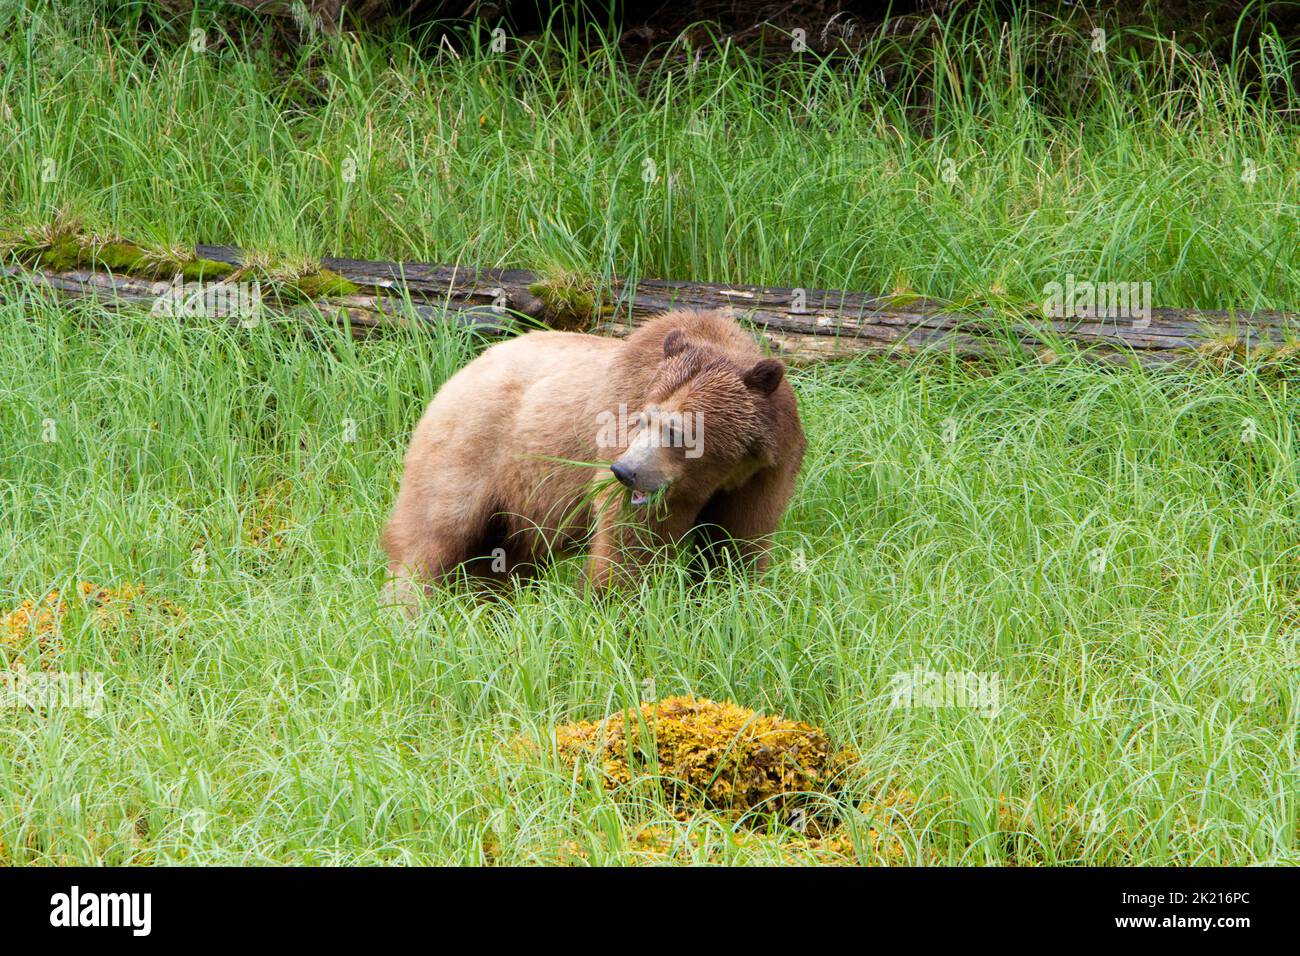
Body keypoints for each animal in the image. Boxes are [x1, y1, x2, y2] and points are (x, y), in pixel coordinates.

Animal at [379, 310, 800, 608]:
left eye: (677, 430)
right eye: (644, 420)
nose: (626, 471)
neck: (720, 472)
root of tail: (466, 369)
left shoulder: (764, 475)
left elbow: (738, 543)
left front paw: (731, 597)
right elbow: (627, 546)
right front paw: (612, 606)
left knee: (500, 559)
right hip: (472, 448)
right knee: (433, 533)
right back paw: (405, 610)